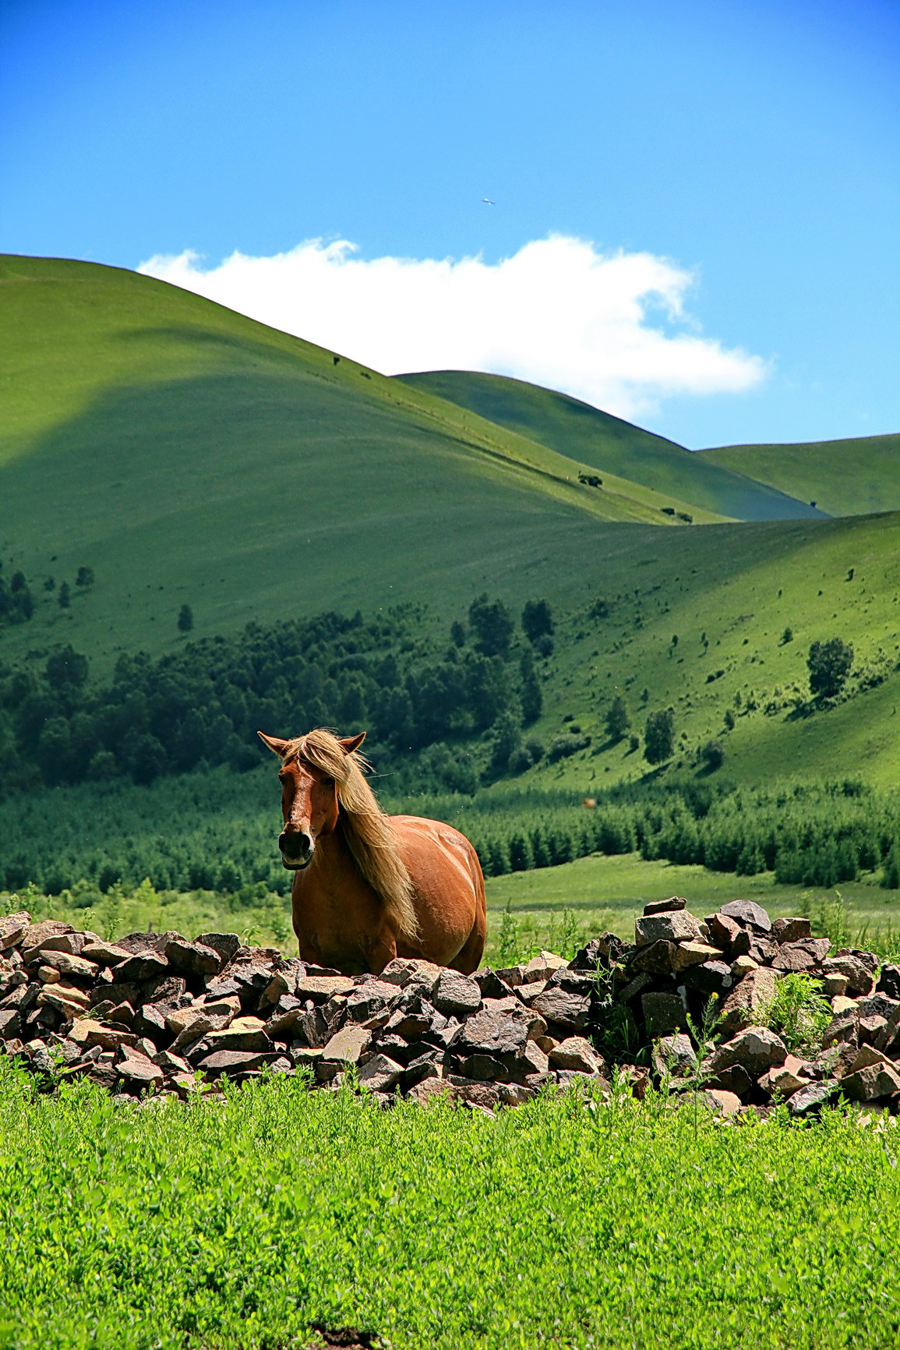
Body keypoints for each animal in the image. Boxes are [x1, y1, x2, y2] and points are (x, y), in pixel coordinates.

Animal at [256, 723, 488, 977]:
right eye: (283, 778)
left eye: (329, 779)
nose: (295, 842)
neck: (334, 893)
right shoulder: (311, 953)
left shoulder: (383, 953)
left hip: (468, 958)